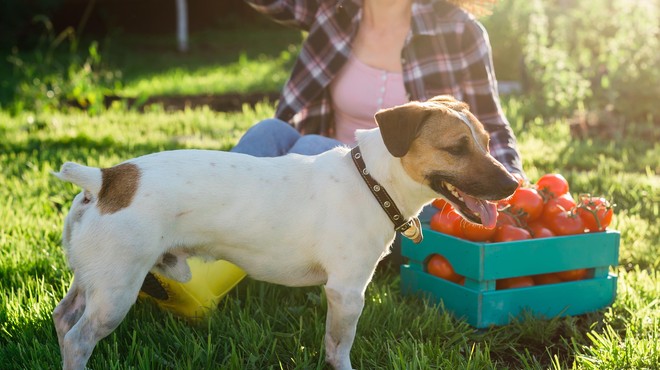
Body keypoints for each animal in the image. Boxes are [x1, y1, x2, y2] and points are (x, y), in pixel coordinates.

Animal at [52, 96, 520, 370]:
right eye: (457, 148)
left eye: (485, 140)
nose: (514, 184)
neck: (371, 181)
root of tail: (104, 179)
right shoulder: (347, 292)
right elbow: (338, 348)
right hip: (116, 292)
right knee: (78, 340)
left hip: (92, 281)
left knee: (63, 317)